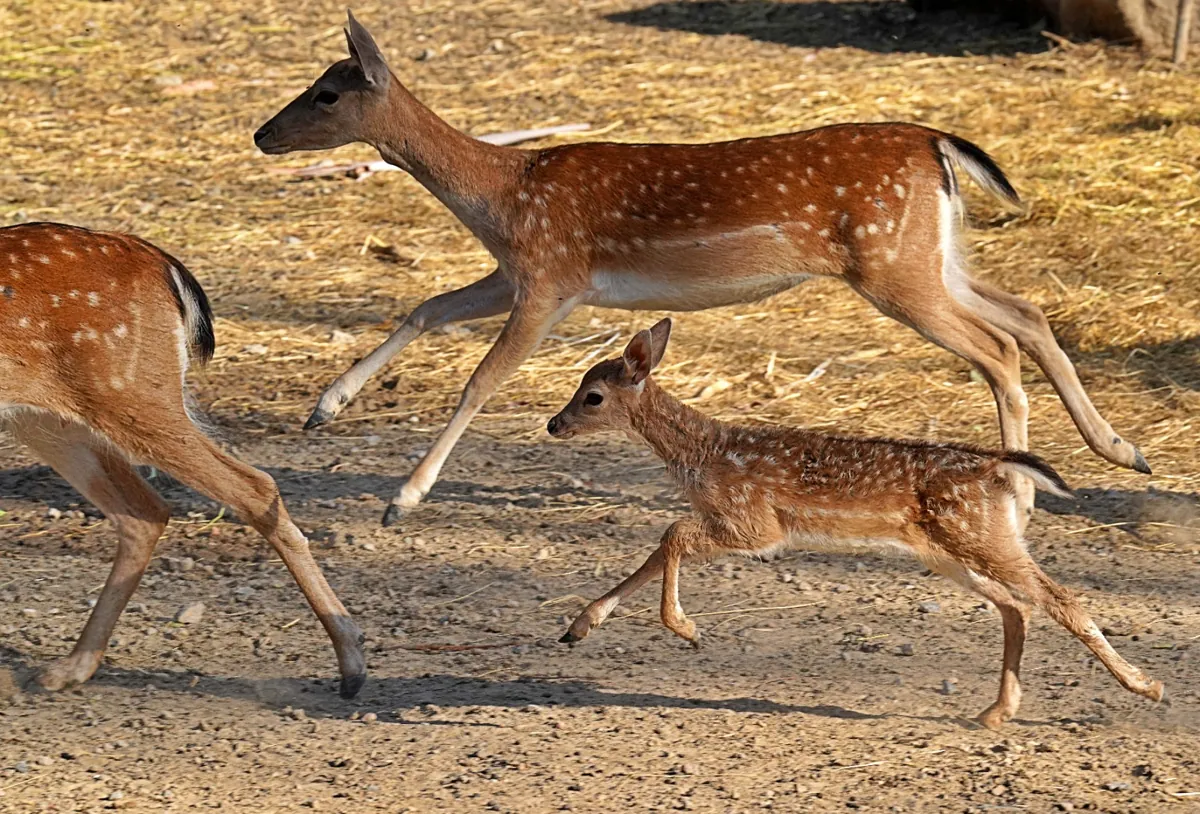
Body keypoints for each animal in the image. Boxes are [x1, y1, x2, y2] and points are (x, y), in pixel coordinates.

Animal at [0, 224, 364, 701]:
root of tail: (161, 262)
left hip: (129, 390)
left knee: (252, 486)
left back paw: (352, 664)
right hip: (50, 417)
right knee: (144, 510)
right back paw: (72, 667)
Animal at [549, 321, 1161, 729]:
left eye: (593, 395)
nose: (554, 424)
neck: (704, 454)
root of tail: (996, 467)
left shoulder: (755, 523)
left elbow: (670, 536)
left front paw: (686, 628)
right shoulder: (724, 519)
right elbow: (660, 546)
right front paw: (579, 626)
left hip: (978, 535)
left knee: (1057, 597)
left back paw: (1146, 686)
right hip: (951, 547)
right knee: (1016, 606)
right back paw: (995, 711)